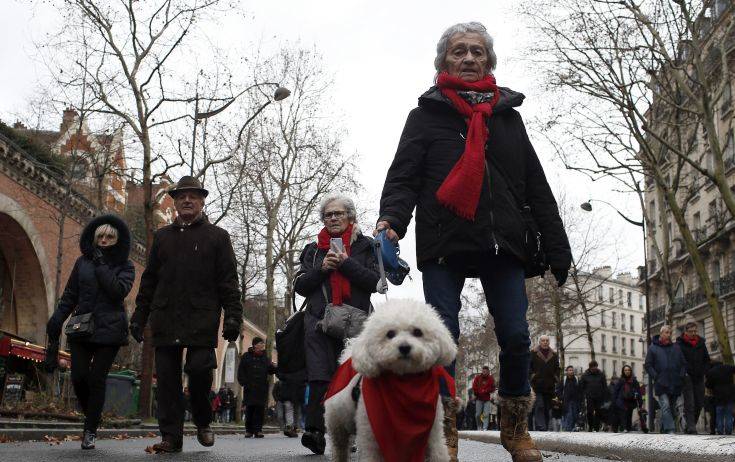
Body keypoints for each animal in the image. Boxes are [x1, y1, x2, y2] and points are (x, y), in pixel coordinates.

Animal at [326, 300, 458, 462]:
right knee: (339, 446)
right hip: (337, 423)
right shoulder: (370, 435)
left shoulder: (434, 434)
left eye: (418, 332)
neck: (406, 383)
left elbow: (438, 453)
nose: (405, 347)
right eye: (390, 334)